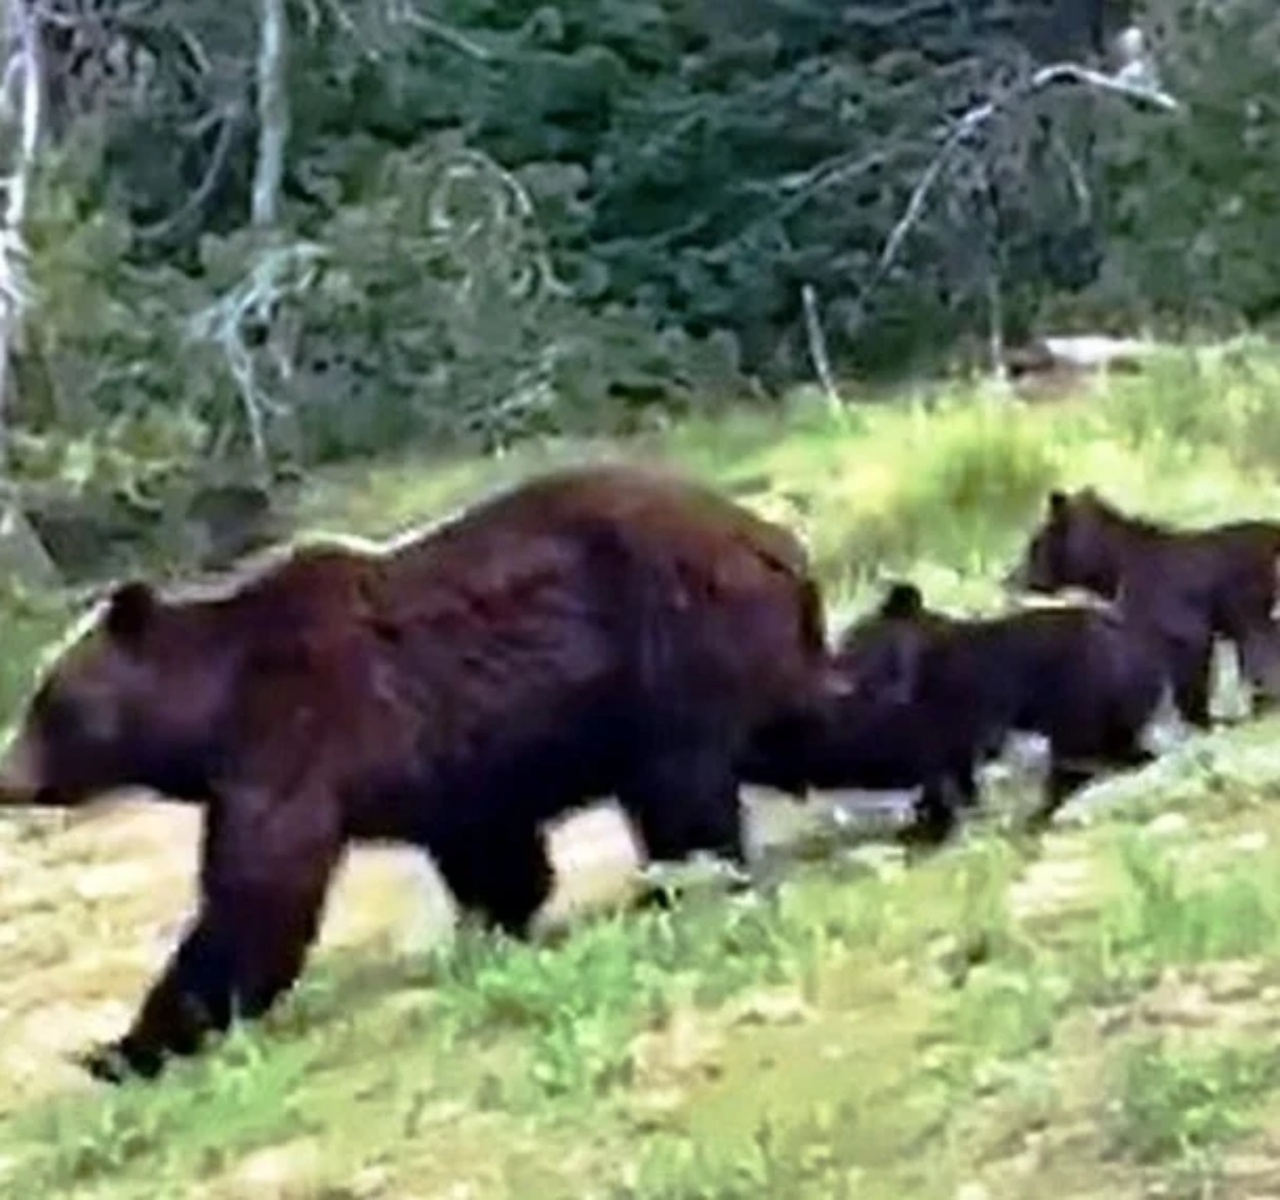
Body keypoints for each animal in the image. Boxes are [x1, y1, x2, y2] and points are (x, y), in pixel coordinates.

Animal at [0, 457, 834, 1074]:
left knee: (682, 783)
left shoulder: (295, 725)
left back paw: (680, 880)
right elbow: (487, 850)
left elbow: (259, 887)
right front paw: (490, 925)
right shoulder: (448, 762)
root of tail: (777, 540)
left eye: (47, 703)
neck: (211, 709)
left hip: (671, 641)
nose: (8, 775)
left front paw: (123, 1046)